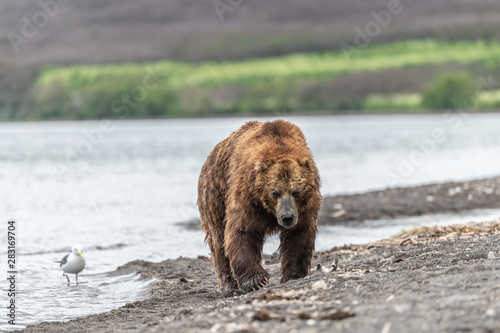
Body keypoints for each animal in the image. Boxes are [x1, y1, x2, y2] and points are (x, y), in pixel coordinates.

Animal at [197, 118, 322, 290]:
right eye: (275, 193)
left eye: (296, 192)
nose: (287, 217)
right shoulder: (248, 196)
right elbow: (242, 230)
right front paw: (256, 280)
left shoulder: (305, 206)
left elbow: (299, 234)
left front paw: (293, 275)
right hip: (214, 192)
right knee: (218, 238)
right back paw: (229, 285)